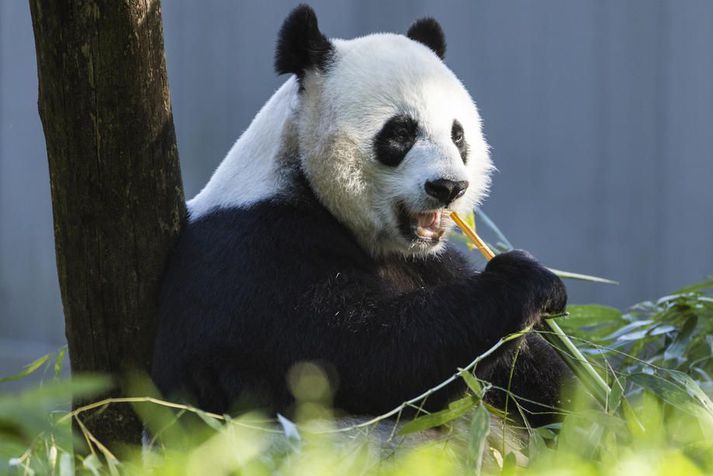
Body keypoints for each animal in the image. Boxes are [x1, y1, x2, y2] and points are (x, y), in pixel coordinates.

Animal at [152, 4, 568, 428]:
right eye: (400, 133)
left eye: (458, 135)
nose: (449, 187)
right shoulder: (259, 256)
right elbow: (368, 354)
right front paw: (526, 278)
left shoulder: (431, 263)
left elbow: (527, 367)